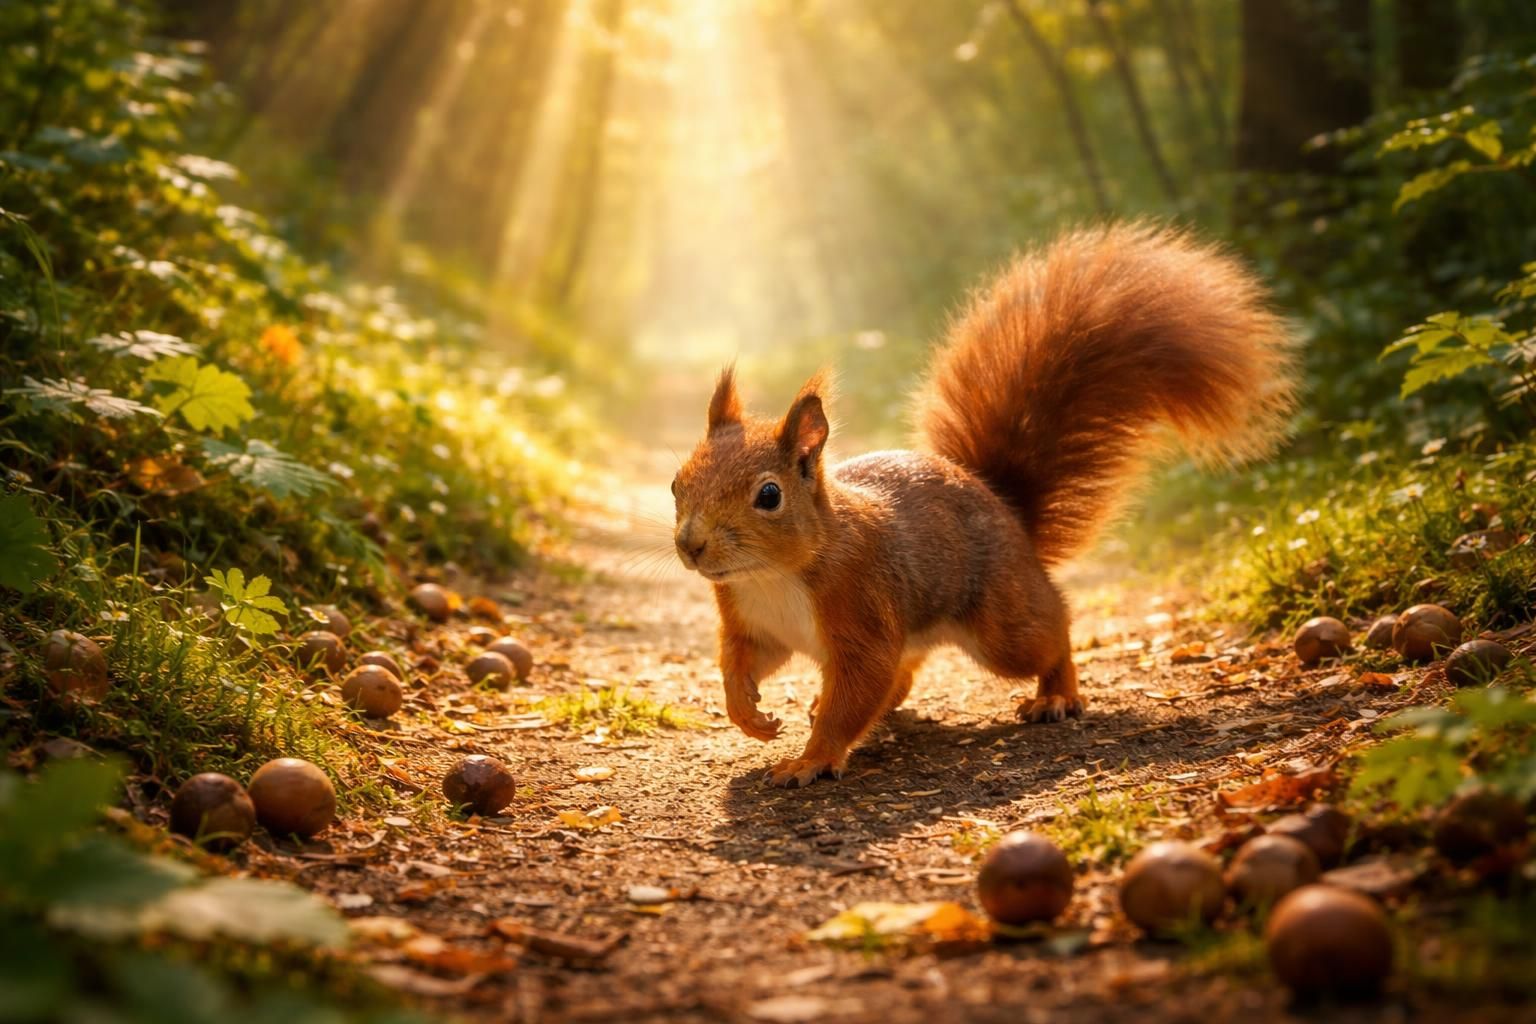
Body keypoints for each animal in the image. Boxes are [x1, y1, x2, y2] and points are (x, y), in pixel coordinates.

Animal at [671, 223, 1298, 787]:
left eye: (768, 495)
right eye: (676, 483)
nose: (690, 544)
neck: (773, 575)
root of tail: (1005, 507)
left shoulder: (862, 613)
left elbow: (856, 693)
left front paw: (811, 758)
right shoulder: (754, 625)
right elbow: (739, 663)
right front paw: (748, 714)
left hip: (1002, 626)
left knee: (1052, 631)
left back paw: (1056, 695)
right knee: (905, 673)